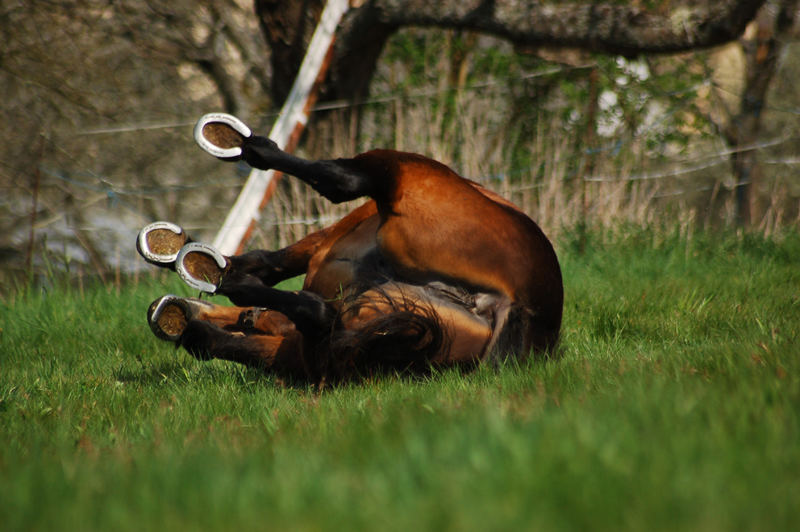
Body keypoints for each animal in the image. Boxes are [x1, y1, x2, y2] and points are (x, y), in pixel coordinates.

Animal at [139, 115, 564, 382]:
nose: (159, 312)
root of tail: (522, 305)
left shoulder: (324, 242)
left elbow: (267, 266)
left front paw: (198, 265)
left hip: (405, 172)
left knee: (341, 178)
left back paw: (243, 147)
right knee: (317, 315)